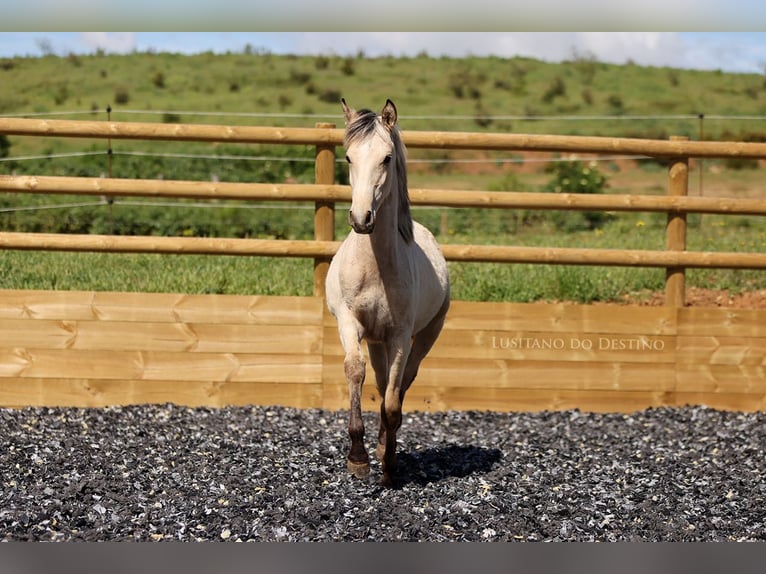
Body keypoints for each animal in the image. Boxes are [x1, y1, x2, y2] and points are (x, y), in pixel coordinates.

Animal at [325, 98, 451, 487]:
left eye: (387, 158)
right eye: (348, 157)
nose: (361, 218)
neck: (375, 266)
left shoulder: (399, 336)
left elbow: (394, 402)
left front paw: (389, 465)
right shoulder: (350, 323)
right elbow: (356, 372)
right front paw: (358, 458)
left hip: (424, 337)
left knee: (401, 384)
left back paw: (386, 447)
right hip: (376, 341)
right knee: (380, 384)